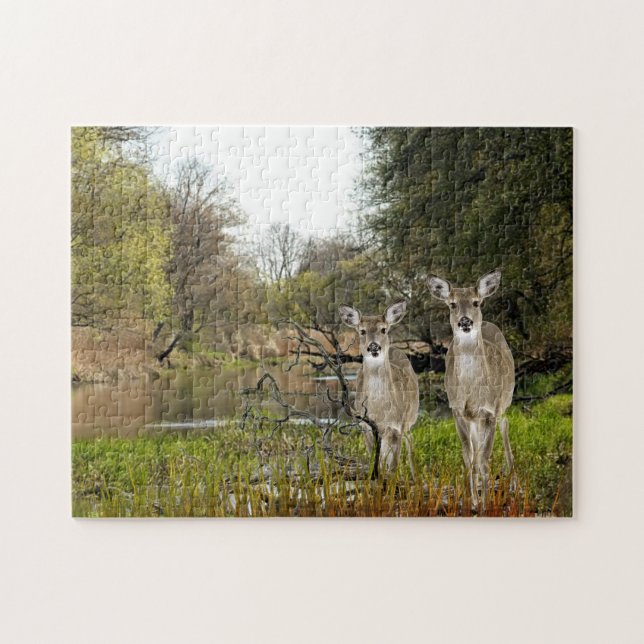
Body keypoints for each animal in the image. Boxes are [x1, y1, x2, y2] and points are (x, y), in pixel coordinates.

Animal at [339, 301, 419, 477]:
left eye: (383, 329)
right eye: (362, 331)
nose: (374, 346)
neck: (379, 410)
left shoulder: (396, 427)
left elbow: (393, 467)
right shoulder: (366, 427)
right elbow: (375, 462)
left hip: (410, 417)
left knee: (410, 441)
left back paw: (415, 475)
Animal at [427, 269, 515, 512]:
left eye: (476, 302)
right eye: (452, 304)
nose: (465, 321)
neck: (471, 390)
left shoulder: (490, 411)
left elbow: (484, 461)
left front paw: (486, 505)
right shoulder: (457, 411)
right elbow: (469, 459)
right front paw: (471, 502)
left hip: (504, 402)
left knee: (505, 428)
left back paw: (514, 484)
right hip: (474, 419)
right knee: (475, 451)